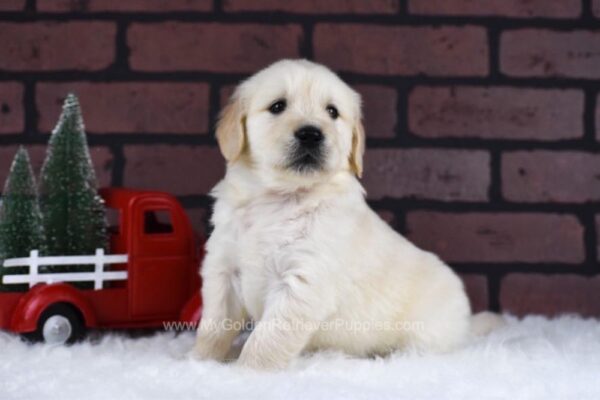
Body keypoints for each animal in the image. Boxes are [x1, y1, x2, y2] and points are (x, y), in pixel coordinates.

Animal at [192, 58, 502, 368]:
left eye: (332, 112)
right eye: (278, 106)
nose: (311, 134)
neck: (280, 198)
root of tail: (466, 323)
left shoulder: (302, 281)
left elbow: (267, 340)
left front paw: (246, 370)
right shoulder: (223, 270)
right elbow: (214, 326)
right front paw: (200, 361)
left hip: (426, 333)